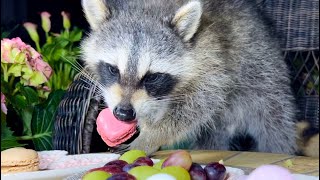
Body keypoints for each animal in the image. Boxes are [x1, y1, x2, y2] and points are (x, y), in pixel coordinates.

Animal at [79, 0, 298, 155]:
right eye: (113, 69)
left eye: (152, 77)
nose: (123, 113)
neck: (149, 8)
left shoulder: (212, 58)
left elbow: (200, 102)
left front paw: (152, 136)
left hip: (264, 78)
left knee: (275, 126)